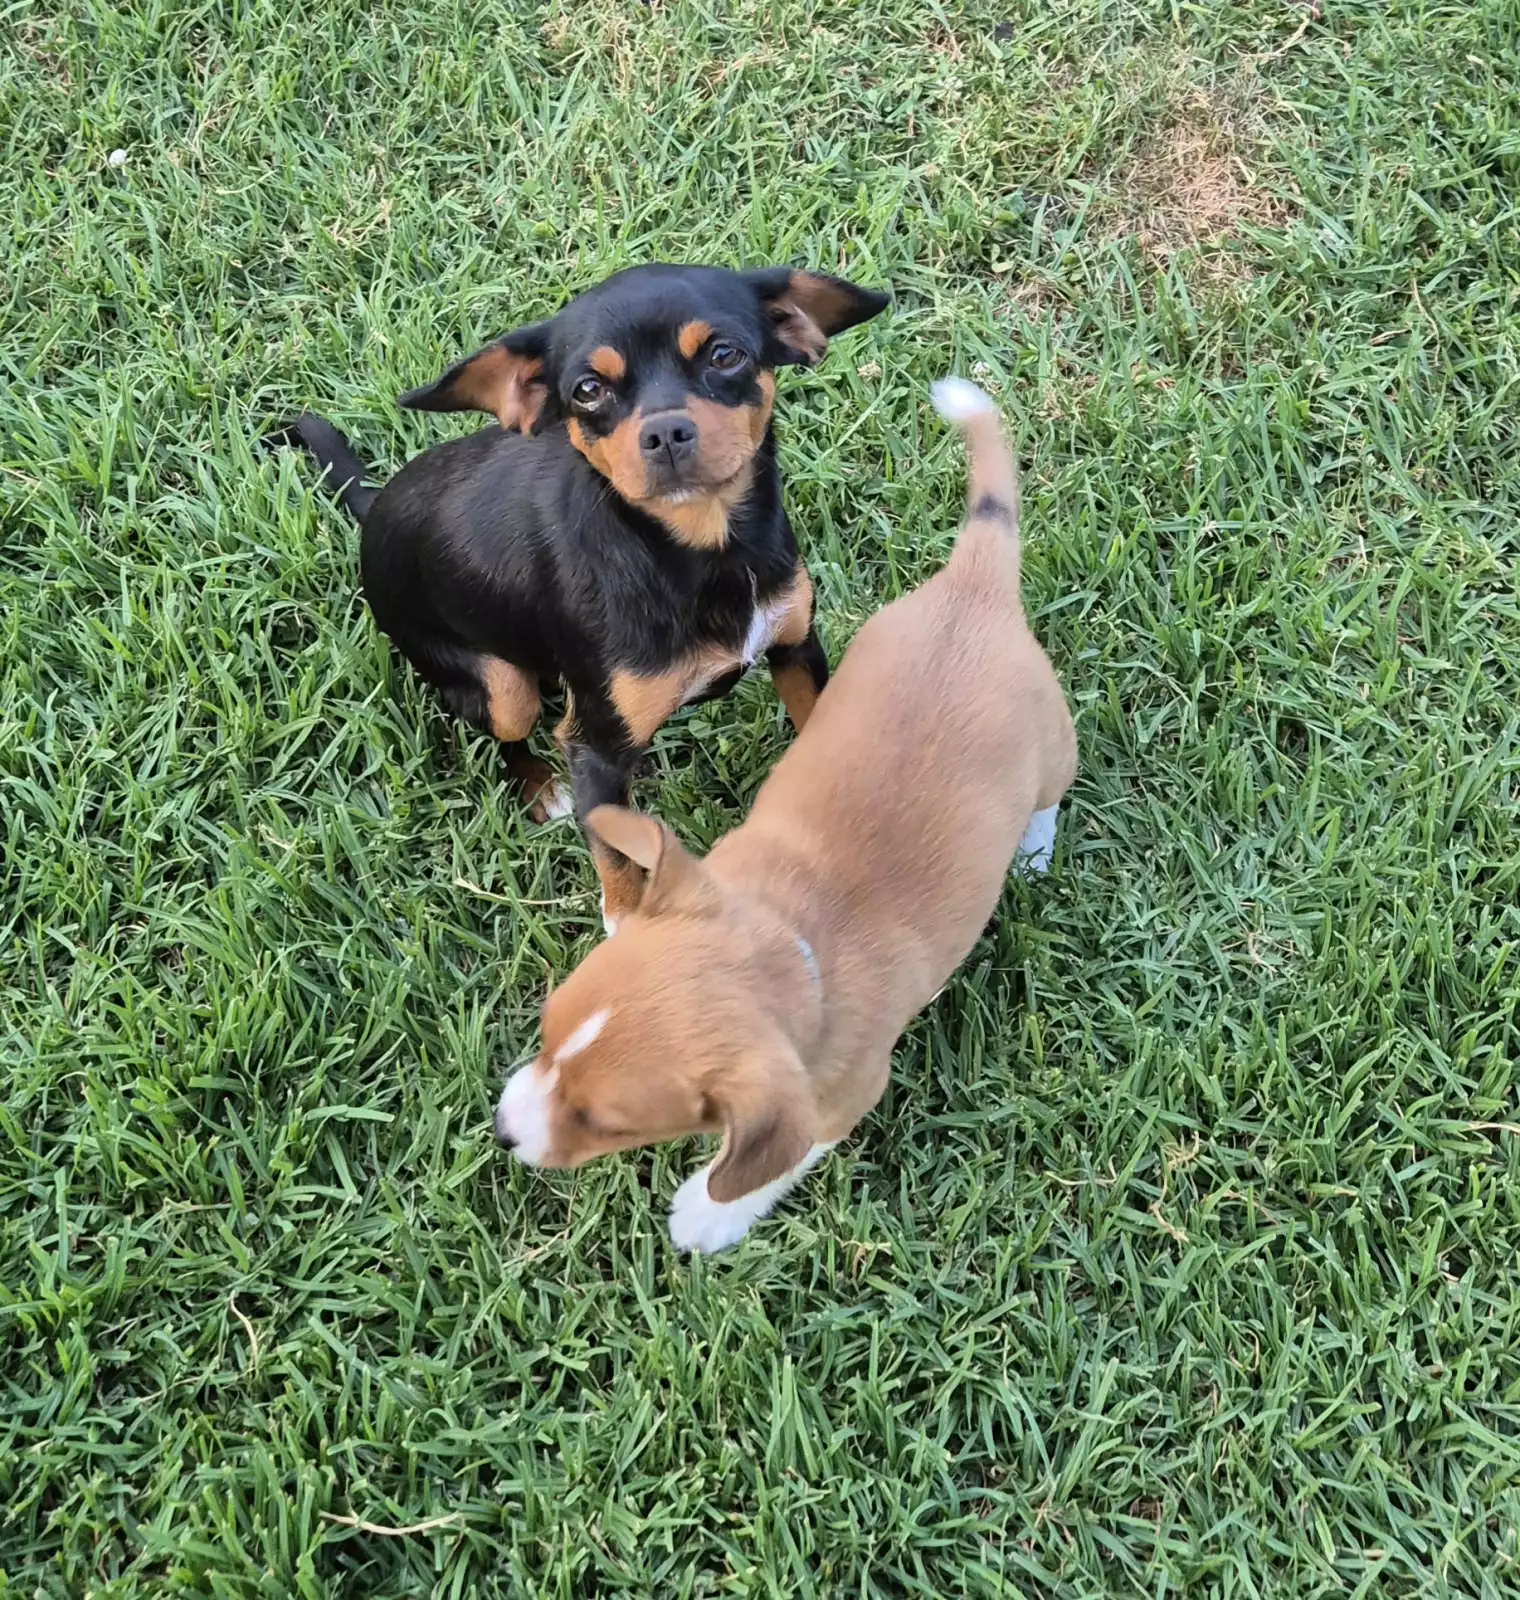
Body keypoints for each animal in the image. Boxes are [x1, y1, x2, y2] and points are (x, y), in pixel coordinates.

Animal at [269, 264, 888, 924]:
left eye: (726, 355)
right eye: (588, 390)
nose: (665, 432)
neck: (700, 552)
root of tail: (376, 506)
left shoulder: (796, 650)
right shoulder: (592, 751)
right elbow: (615, 860)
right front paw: (628, 924)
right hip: (502, 689)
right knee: (508, 730)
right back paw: (541, 789)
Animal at [492, 376, 1078, 1251]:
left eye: (604, 1123)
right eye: (547, 1028)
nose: (500, 1130)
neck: (784, 936)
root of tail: (973, 585)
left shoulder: (833, 1101)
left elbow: (768, 1165)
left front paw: (707, 1216)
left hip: (1053, 747)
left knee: (1048, 798)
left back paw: (1033, 852)